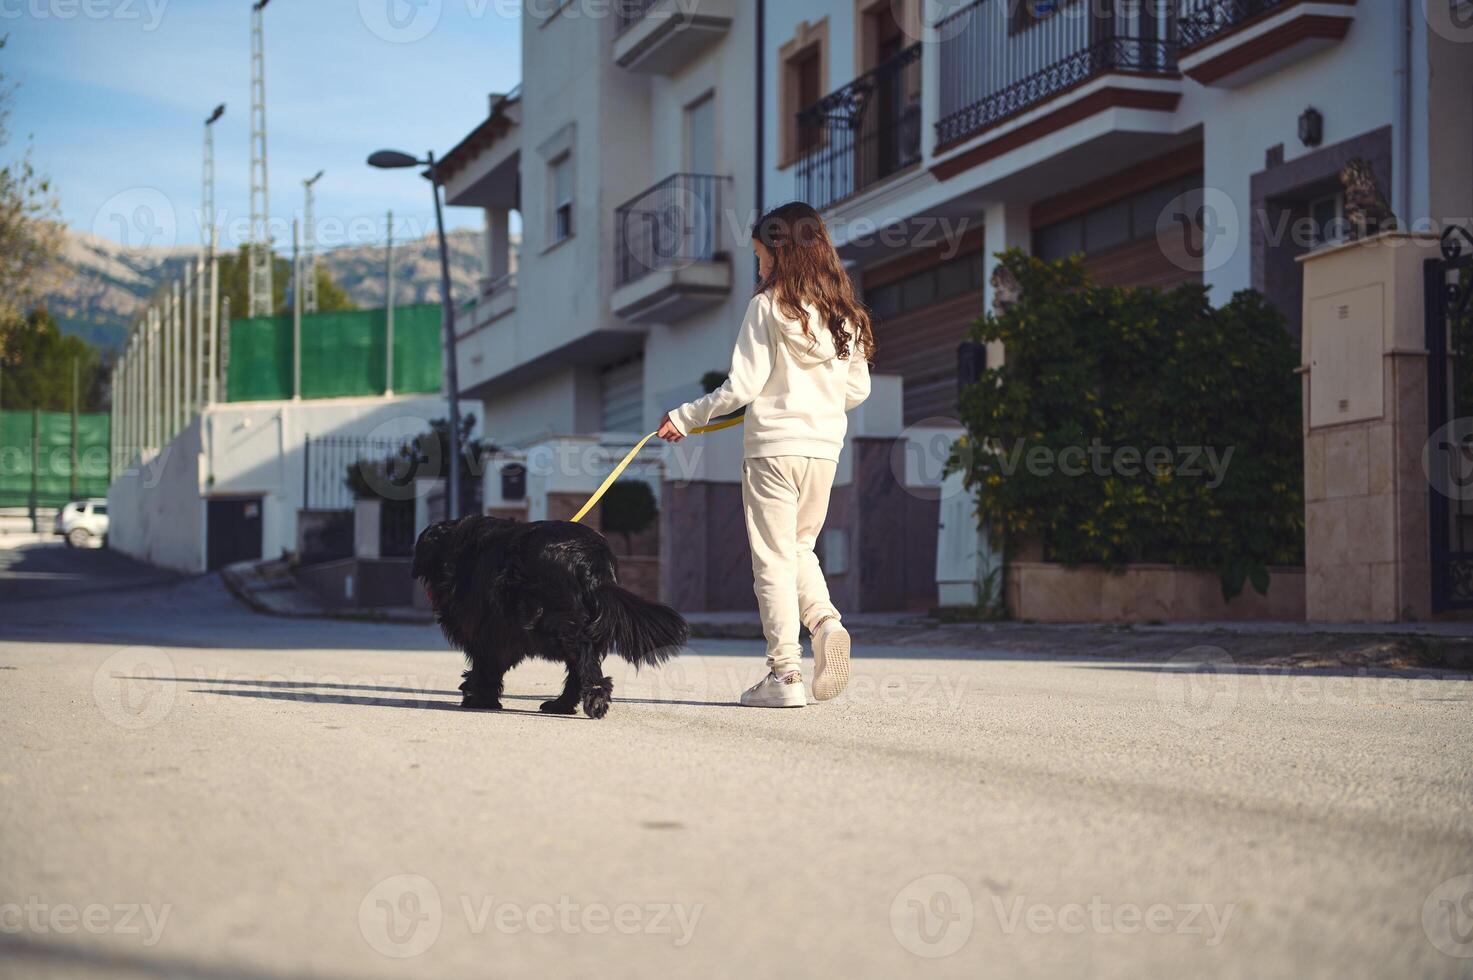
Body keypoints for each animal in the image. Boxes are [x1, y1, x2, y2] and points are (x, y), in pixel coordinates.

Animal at [412, 512, 686, 719]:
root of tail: (591, 557)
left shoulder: (486, 631)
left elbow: (485, 664)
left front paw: (477, 697)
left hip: (551, 622)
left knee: (584, 659)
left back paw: (594, 700)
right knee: (579, 667)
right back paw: (562, 704)